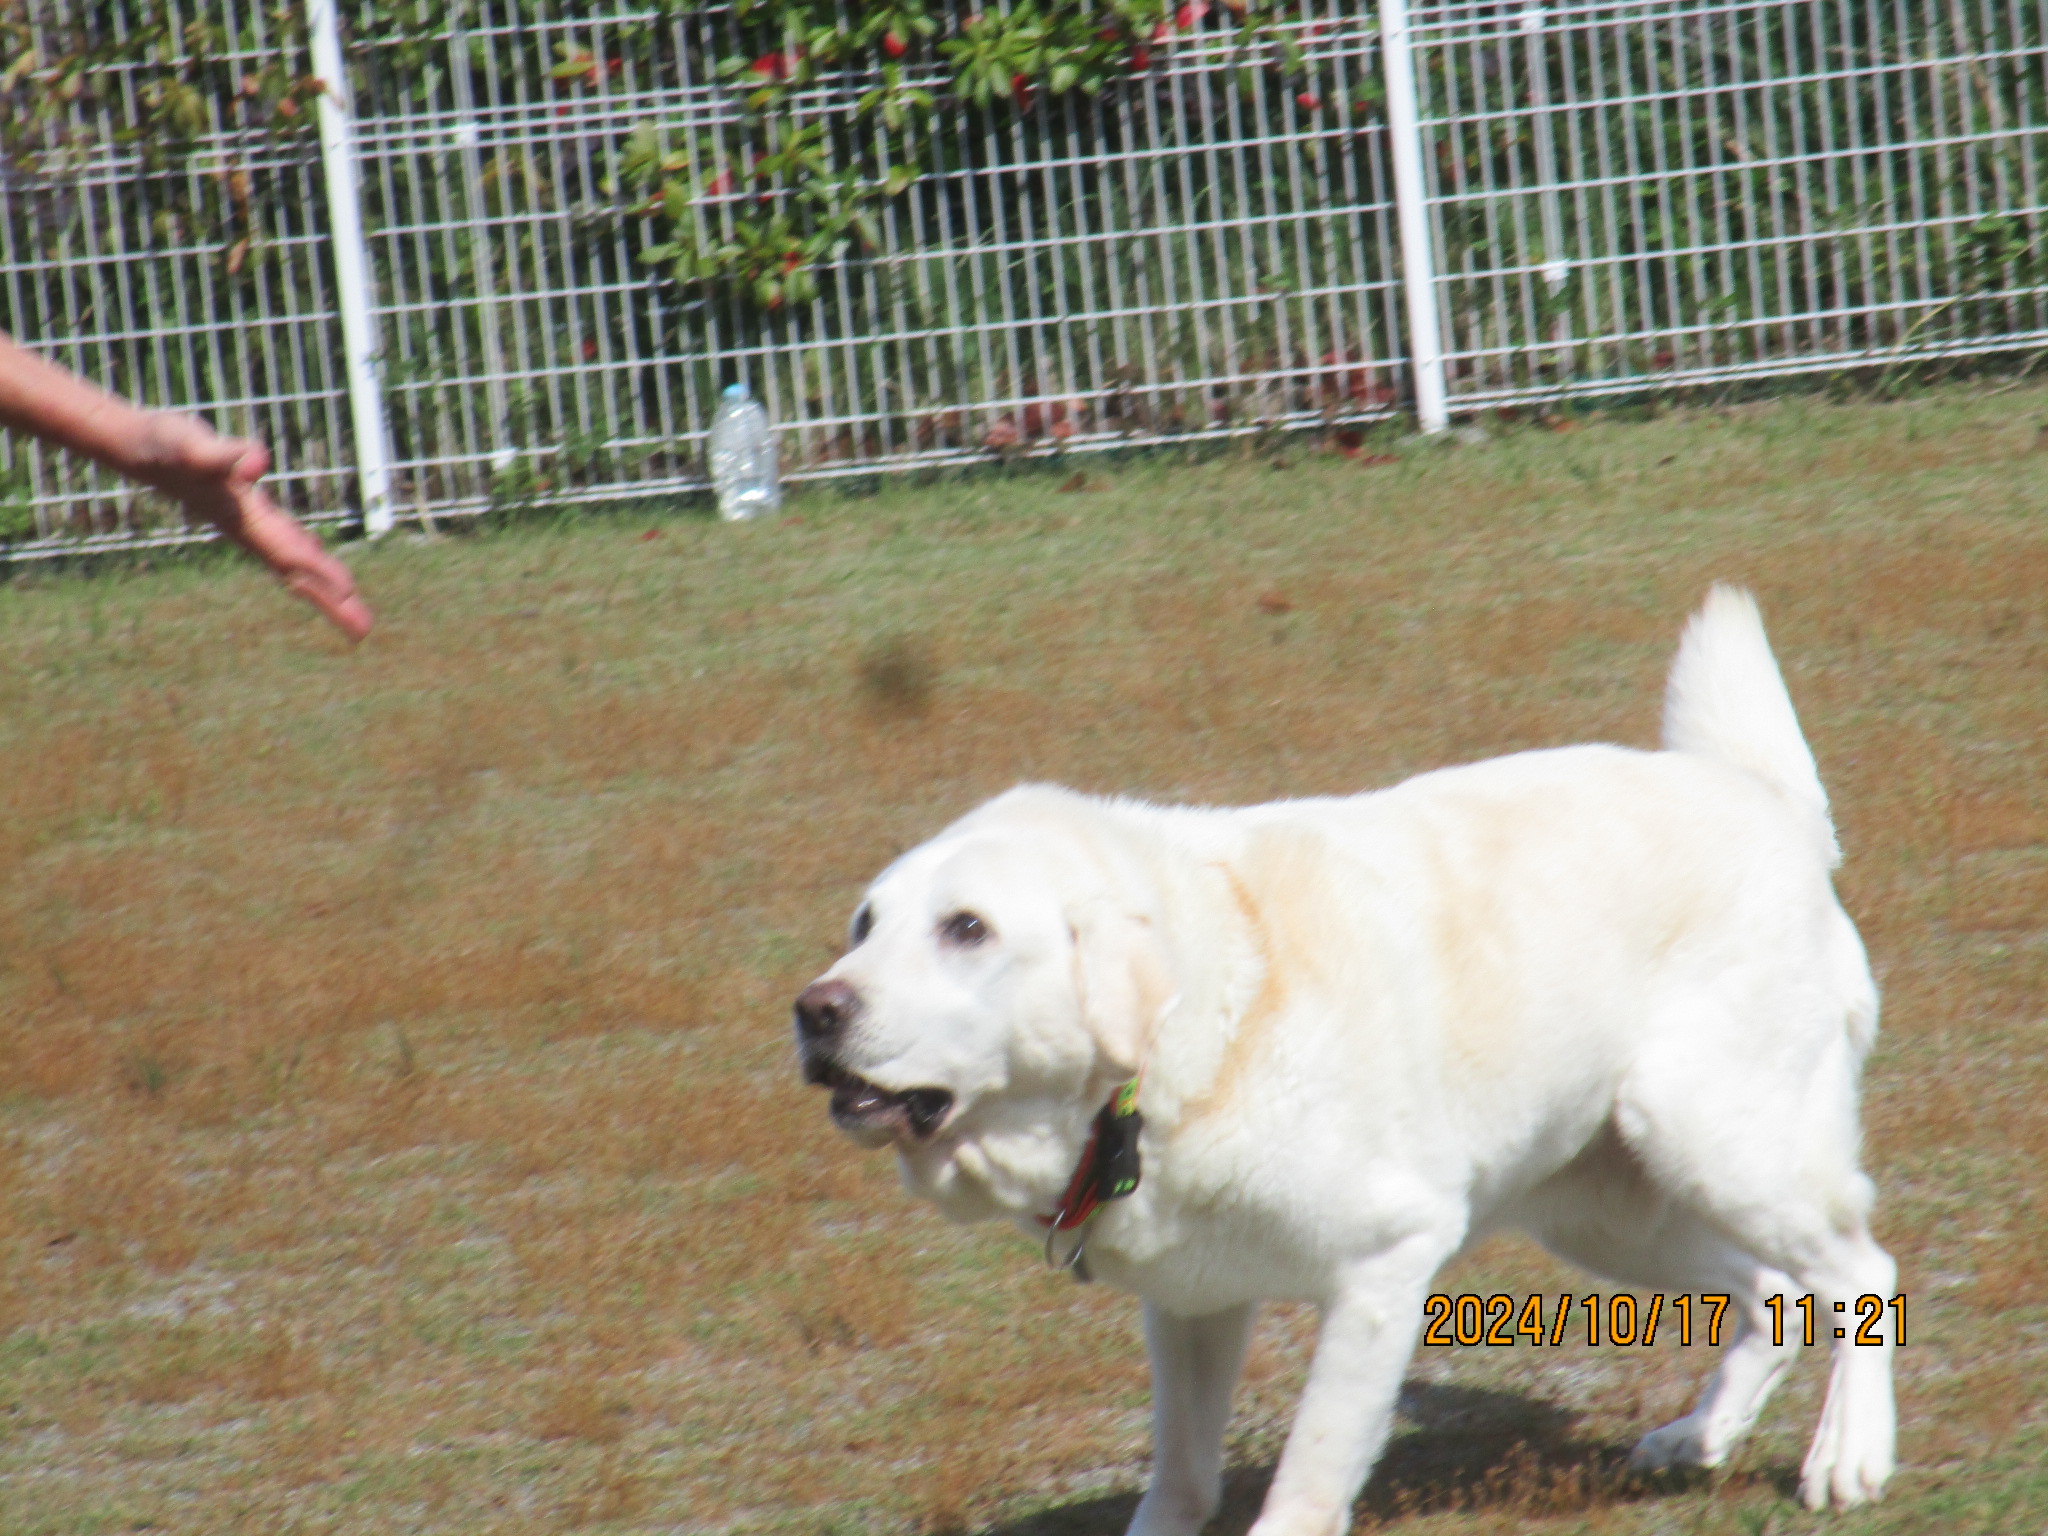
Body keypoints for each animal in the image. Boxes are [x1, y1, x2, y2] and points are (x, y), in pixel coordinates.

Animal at [794, 587, 1895, 1535]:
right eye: (863, 925)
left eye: (966, 929)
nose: (813, 1012)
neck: (1169, 1065)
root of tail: (1766, 803)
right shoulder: (1191, 1306)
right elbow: (1180, 1478)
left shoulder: (1383, 1266)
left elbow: (1307, 1478)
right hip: (1608, 1211)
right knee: (1775, 1292)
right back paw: (1698, 1435)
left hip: (1712, 1141)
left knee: (1857, 1272)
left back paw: (1847, 1456)